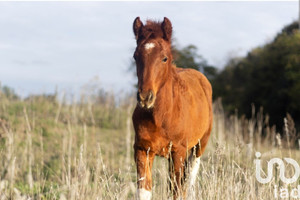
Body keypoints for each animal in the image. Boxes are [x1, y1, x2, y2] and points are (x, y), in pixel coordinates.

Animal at [132, 17, 213, 200]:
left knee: (189, 181)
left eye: (164, 58)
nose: (145, 97)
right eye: (135, 56)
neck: (162, 116)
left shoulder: (179, 151)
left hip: (198, 146)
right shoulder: (142, 149)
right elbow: (144, 190)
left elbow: (177, 190)